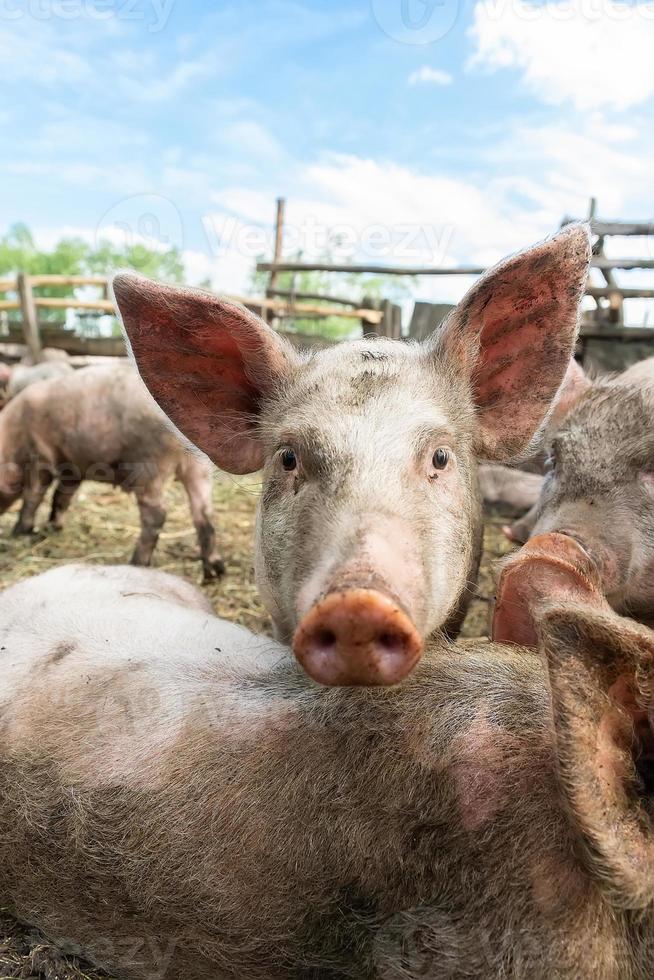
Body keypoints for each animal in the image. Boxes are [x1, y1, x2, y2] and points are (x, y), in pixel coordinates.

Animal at [0, 364, 226, 580]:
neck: (11, 440)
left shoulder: (41, 454)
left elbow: (33, 496)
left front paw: (20, 531)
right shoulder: (73, 467)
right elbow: (61, 497)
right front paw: (52, 528)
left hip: (149, 465)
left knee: (157, 514)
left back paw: (136, 564)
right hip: (199, 467)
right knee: (204, 512)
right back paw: (215, 572)